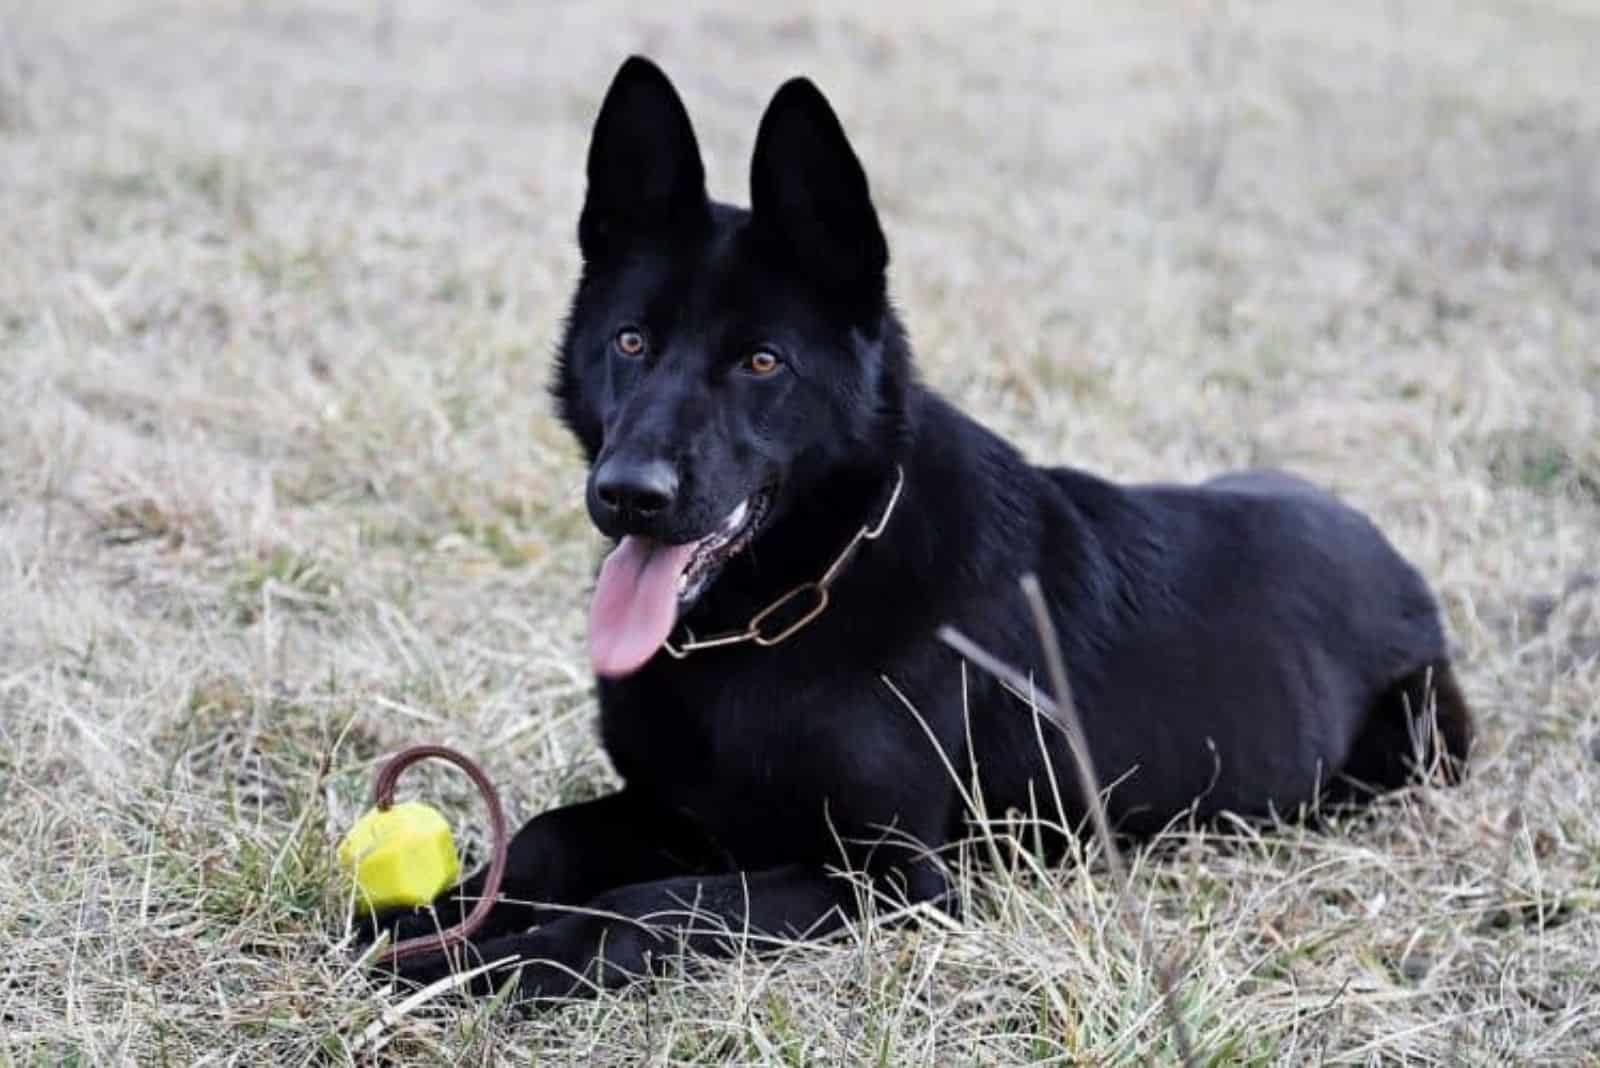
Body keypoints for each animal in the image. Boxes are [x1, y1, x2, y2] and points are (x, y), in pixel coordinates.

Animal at [366, 56, 1472, 1004]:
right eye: (631, 343)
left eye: (762, 363)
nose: (628, 494)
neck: (780, 612)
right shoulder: (673, 808)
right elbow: (546, 838)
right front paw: (435, 917)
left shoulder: (889, 876)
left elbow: (645, 909)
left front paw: (504, 960)